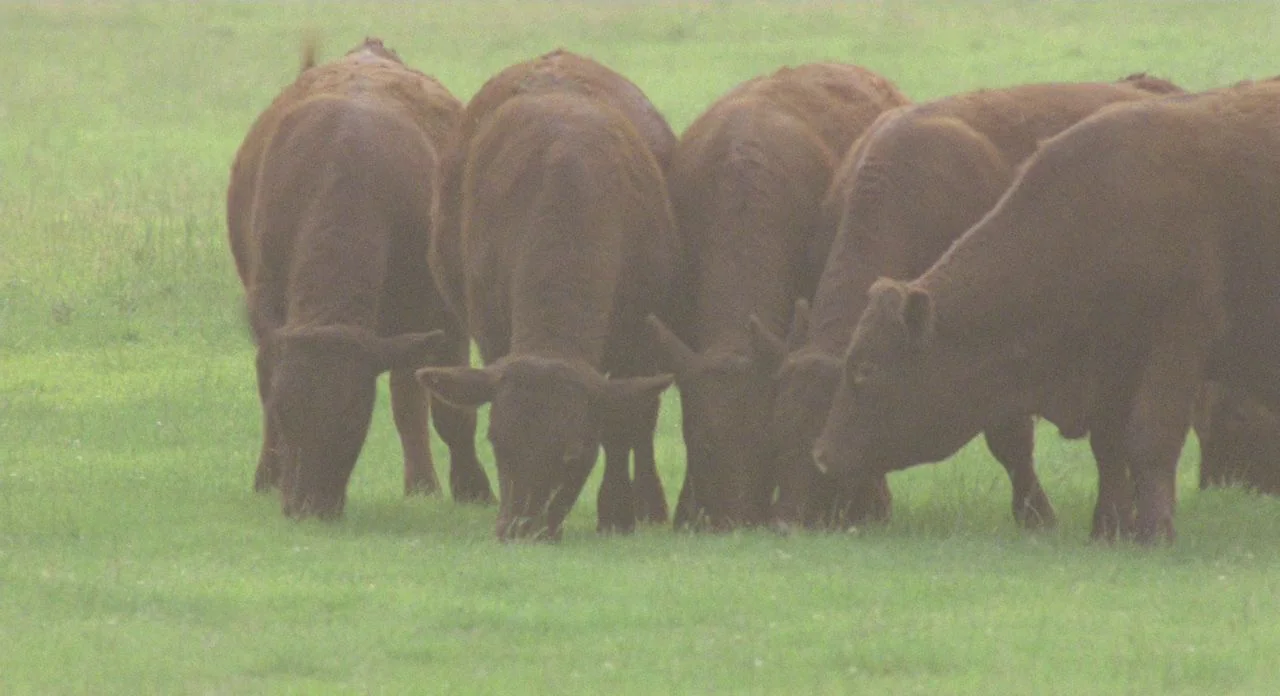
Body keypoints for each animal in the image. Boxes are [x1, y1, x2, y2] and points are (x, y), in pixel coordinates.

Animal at [226, 38, 492, 518]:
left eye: (352, 416)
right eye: (286, 412)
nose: (308, 505)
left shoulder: (443, 319)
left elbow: (450, 409)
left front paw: (472, 488)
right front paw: (267, 478)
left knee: (409, 399)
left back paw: (423, 483)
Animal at [429, 49, 679, 525]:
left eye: (573, 455)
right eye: (498, 443)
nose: (519, 529)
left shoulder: (639, 338)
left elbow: (625, 423)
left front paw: (620, 511)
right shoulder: (490, 330)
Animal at [812, 79, 1280, 544]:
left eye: (866, 369)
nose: (822, 454)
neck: (1101, 207)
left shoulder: (1176, 343)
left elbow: (1151, 437)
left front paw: (1153, 532)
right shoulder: (1112, 360)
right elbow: (1109, 443)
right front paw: (1108, 529)